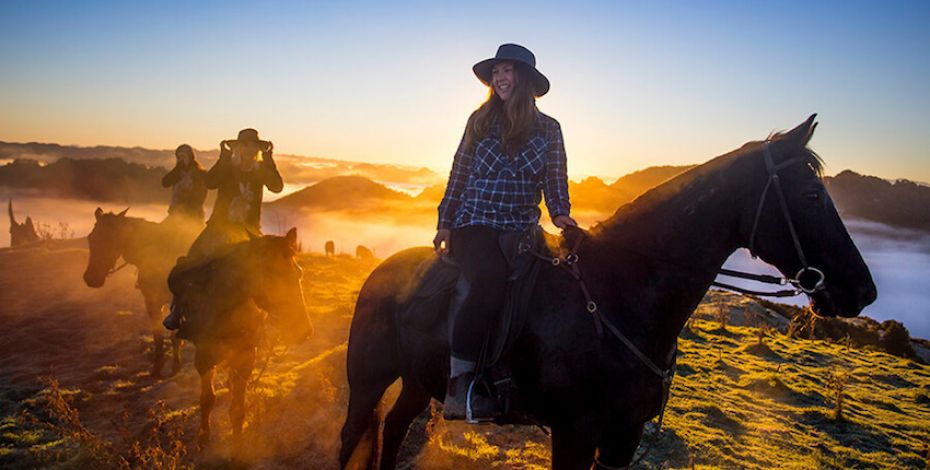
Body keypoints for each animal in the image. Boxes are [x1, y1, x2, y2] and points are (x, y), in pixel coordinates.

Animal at [84, 207, 201, 376]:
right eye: (91, 238)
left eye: (110, 239)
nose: (91, 279)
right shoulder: (152, 302)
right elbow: (158, 335)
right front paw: (157, 368)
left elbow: (173, 336)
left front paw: (175, 366)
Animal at [338, 115, 872, 468]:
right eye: (812, 196)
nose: (863, 292)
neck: (619, 297)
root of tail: (381, 271)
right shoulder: (575, 432)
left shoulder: (623, 437)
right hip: (368, 379)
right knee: (352, 435)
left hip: (417, 379)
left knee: (394, 427)